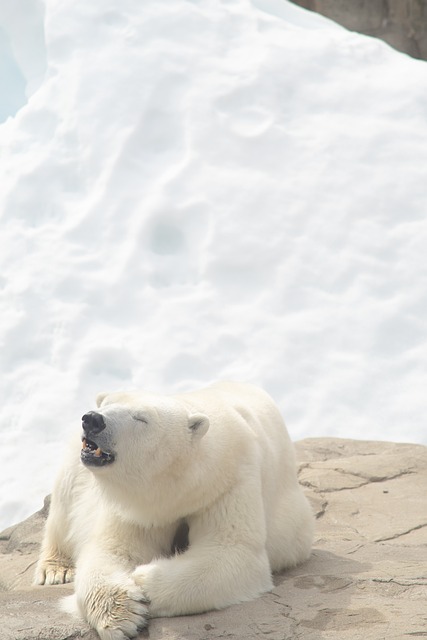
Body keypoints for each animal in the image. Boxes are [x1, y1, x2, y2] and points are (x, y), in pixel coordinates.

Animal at [35, 382, 312, 636]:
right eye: (107, 404)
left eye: (141, 418)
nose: (92, 419)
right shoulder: (134, 508)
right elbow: (113, 549)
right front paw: (124, 613)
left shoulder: (231, 482)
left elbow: (232, 551)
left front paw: (142, 581)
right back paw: (55, 570)